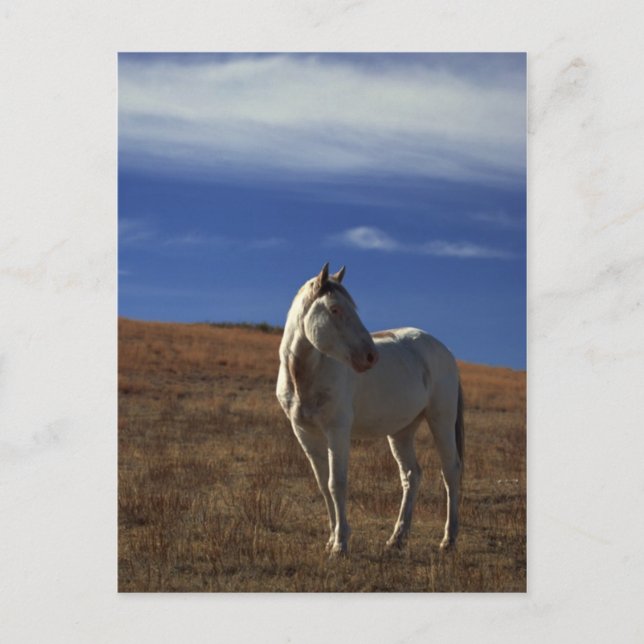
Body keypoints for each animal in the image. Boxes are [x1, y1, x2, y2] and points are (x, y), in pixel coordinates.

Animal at [276, 263, 464, 555]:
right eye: (334, 309)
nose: (371, 356)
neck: (305, 375)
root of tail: (444, 351)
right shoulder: (305, 433)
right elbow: (323, 485)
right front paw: (332, 538)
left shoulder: (337, 431)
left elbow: (337, 483)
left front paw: (340, 544)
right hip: (401, 431)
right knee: (411, 475)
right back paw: (397, 538)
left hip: (441, 420)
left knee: (450, 471)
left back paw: (448, 539)